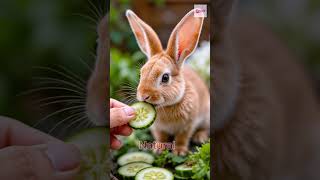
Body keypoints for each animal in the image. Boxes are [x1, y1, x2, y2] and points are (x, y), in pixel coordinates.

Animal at [126, 8, 211, 155]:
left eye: (165, 77)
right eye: (141, 73)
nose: (144, 95)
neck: (167, 106)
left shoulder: (188, 125)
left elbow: (182, 137)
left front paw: (179, 152)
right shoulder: (157, 128)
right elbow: (161, 137)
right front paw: (158, 149)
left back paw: (200, 137)